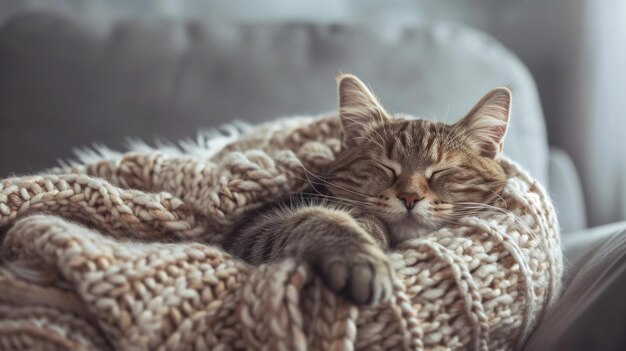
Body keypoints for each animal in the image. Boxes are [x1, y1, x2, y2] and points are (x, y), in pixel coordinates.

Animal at [222, 75, 510, 306]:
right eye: (386, 166)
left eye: (442, 170)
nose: (410, 196)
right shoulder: (249, 231)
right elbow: (317, 217)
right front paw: (360, 254)